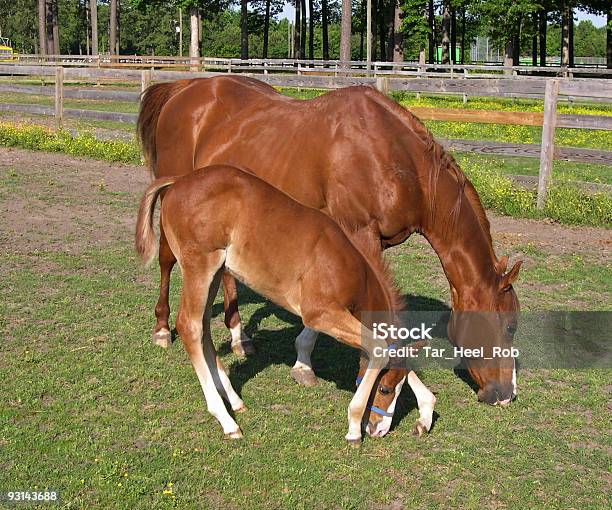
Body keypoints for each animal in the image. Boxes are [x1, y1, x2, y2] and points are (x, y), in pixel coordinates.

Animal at [134, 164, 436, 442]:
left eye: (397, 389)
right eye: (385, 389)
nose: (378, 429)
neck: (351, 266)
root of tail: (178, 181)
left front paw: (425, 411)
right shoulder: (319, 313)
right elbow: (379, 347)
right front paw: (353, 428)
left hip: (216, 272)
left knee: (204, 329)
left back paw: (234, 400)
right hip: (200, 266)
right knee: (190, 326)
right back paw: (226, 420)